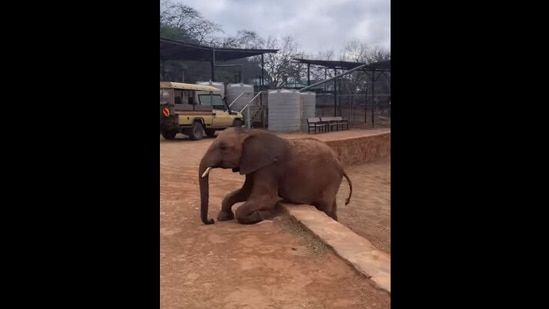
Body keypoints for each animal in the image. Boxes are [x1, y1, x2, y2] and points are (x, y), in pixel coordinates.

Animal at [197, 127, 352, 224]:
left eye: (223, 148)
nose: (210, 221)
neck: (248, 132)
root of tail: (340, 164)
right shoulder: (253, 164)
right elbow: (244, 192)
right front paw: (223, 217)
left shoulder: (269, 169)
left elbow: (265, 198)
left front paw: (260, 215)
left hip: (330, 179)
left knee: (326, 205)